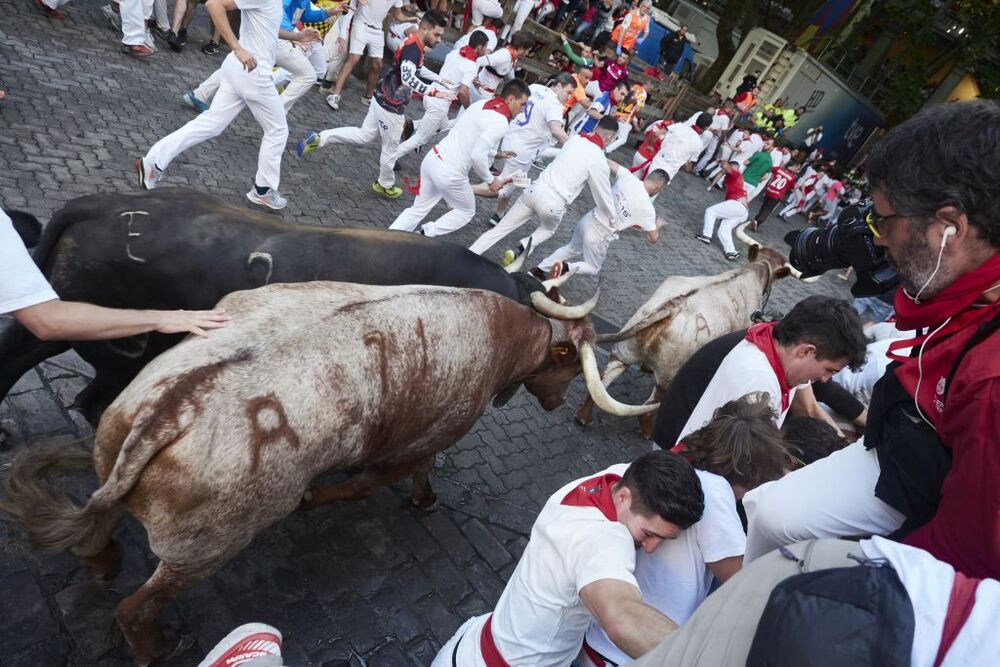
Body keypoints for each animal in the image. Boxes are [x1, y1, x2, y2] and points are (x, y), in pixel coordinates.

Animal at [0, 280, 652, 664]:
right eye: (568, 366)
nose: (557, 404)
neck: (498, 331)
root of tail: (167, 411)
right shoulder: (426, 436)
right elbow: (381, 480)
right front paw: (408, 499)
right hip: (206, 546)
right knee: (137, 607)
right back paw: (155, 644)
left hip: (120, 458)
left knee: (100, 527)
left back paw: (102, 559)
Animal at [580, 245, 788, 438]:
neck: (755, 270)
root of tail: (673, 306)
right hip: (666, 378)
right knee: (646, 409)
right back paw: (647, 433)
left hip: (623, 353)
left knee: (600, 382)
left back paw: (584, 418)